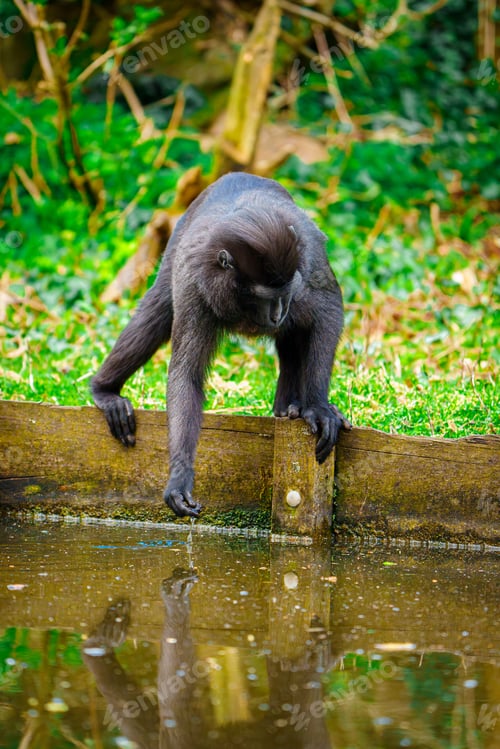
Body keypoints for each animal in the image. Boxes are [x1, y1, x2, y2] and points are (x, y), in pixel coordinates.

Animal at [91, 172, 350, 518]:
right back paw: (104, 391)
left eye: (281, 294)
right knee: (158, 308)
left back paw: (294, 407)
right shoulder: (194, 285)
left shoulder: (301, 277)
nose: (278, 312)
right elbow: (186, 373)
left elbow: (328, 311)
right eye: (265, 297)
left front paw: (319, 408)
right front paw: (180, 476)